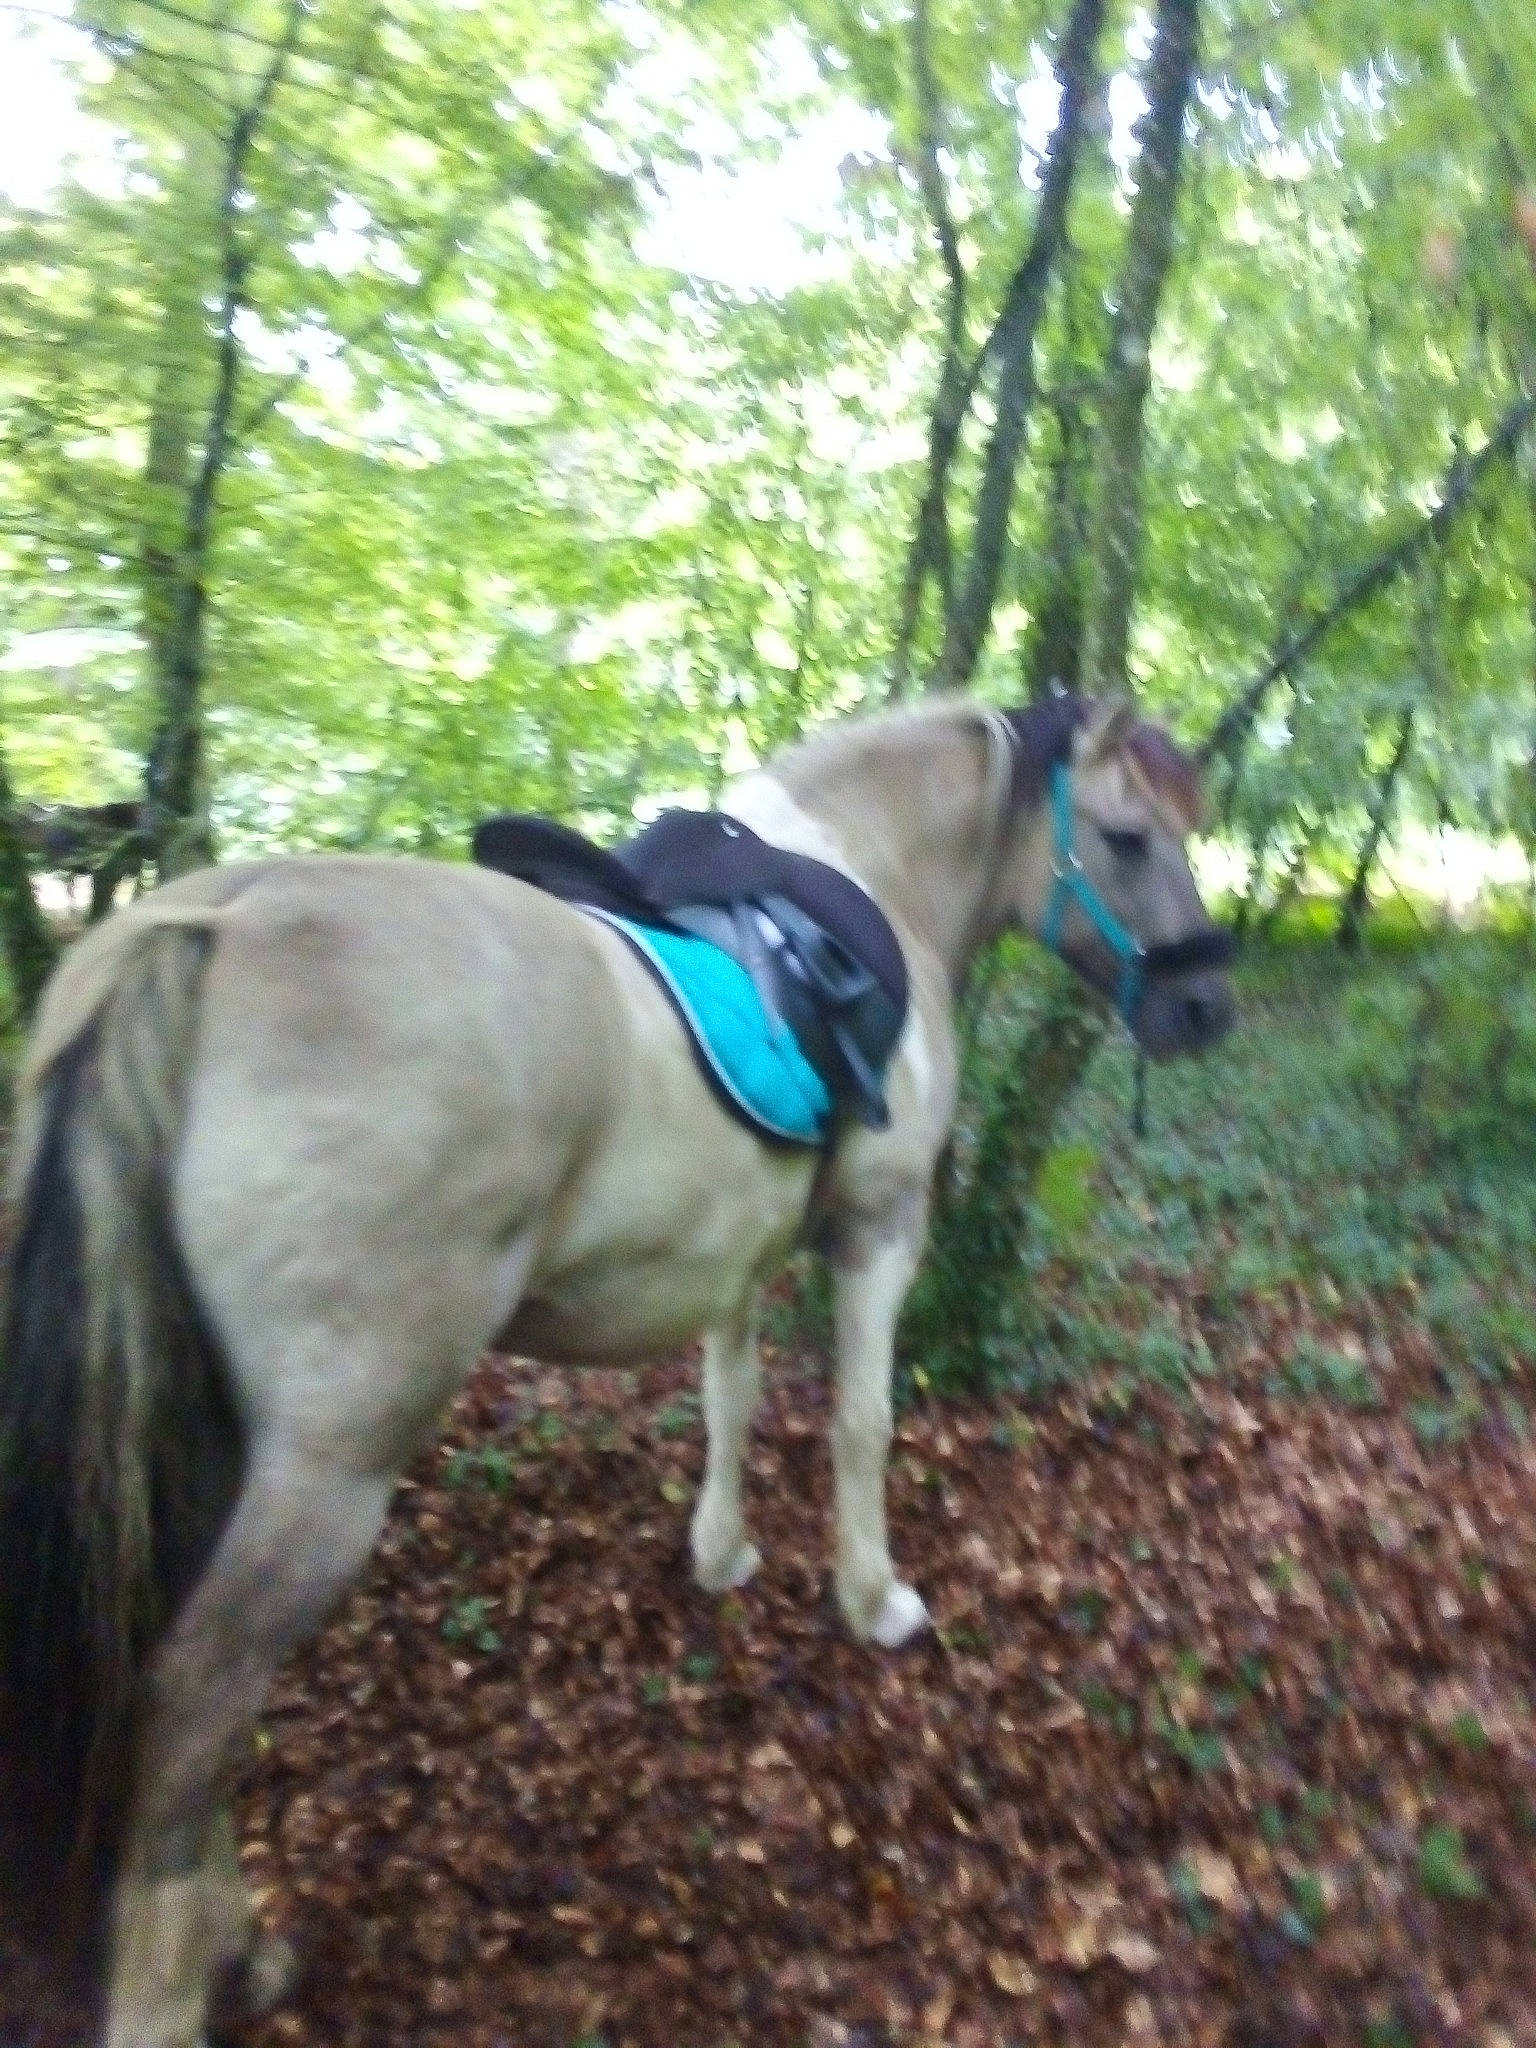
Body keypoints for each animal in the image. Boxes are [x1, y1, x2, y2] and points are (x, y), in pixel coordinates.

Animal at [0, 692, 1233, 2047]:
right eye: (1126, 836)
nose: (1206, 1008)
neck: (876, 872)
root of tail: (206, 929)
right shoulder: (879, 1229)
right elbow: (860, 1422)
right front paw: (874, 1598)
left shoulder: (744, 1254)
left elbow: (731, 1402)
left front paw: (722, 1552)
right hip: (325, 1472)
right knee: (188, 1712)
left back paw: (245, 1953)